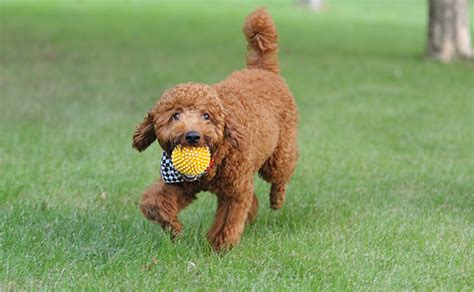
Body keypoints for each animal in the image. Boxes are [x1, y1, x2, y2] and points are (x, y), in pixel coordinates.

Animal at [131, 8, 298, 251]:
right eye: (175, 115)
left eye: (206, 116)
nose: (192, 136)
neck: (216, 155)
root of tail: (263, 69)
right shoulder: (182, 183)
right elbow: (155, 202)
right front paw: (173, 228)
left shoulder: (234, 192)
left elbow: (227, 221)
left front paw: (218, 246)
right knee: (254, 196)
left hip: (279, 152)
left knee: (281, 173)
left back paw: (277, 199)